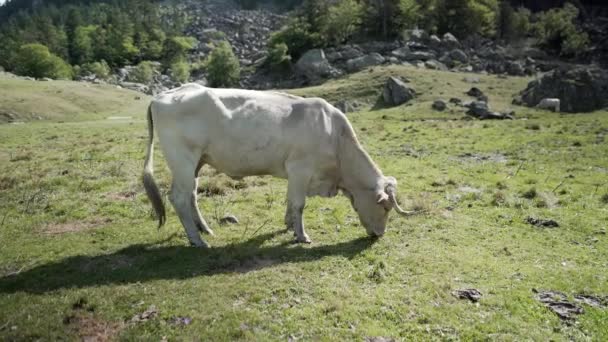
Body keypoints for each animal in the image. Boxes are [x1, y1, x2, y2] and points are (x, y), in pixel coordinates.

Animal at [143, 84, 410, 247]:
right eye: (385, 208)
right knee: (179, 197)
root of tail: (163, 96)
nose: (379, 235)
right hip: (183, 160)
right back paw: (197, 240)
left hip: (197, 162)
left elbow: (290, 201)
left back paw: (204, 230)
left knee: (191, 195)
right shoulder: (301, 169)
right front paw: (302, 235)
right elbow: (299, 204)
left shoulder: (296, 174)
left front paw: (288, 225)